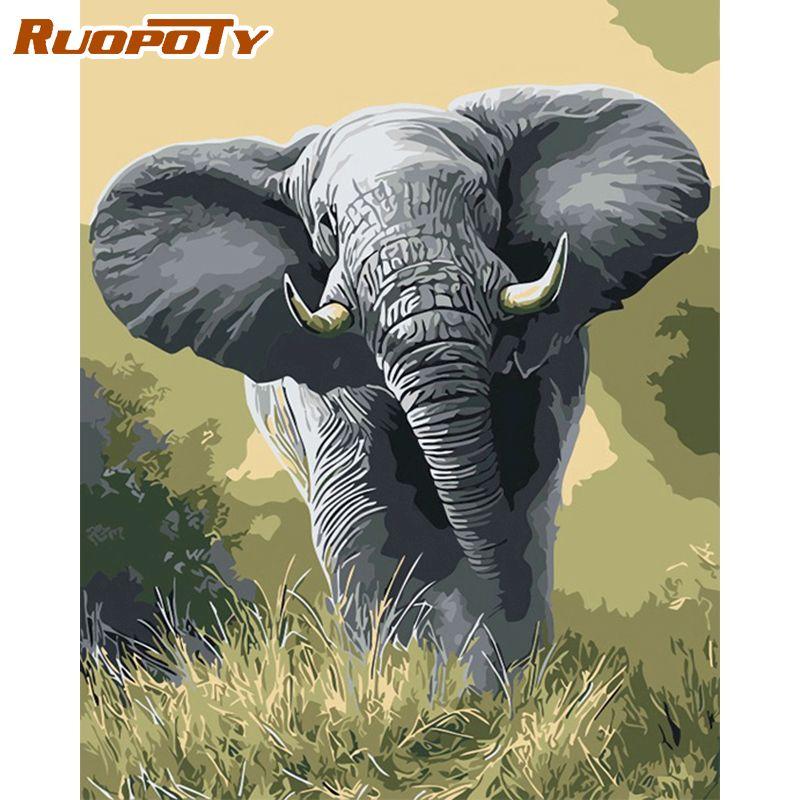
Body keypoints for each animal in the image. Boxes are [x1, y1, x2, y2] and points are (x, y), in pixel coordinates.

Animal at [90, 85, 710, 688]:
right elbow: (362, 515)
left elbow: (526, 494)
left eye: (481, 202)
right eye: (327, 223)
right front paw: (396, 684)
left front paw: (494, 688)